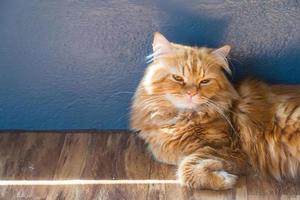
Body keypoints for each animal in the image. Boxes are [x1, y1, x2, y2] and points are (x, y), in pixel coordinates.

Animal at [131, 32, 300, 190]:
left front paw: (224, 179)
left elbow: (187, 168)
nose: (192, 93)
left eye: (204, 81)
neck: (182, 118)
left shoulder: (230, 150)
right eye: (178, 78)